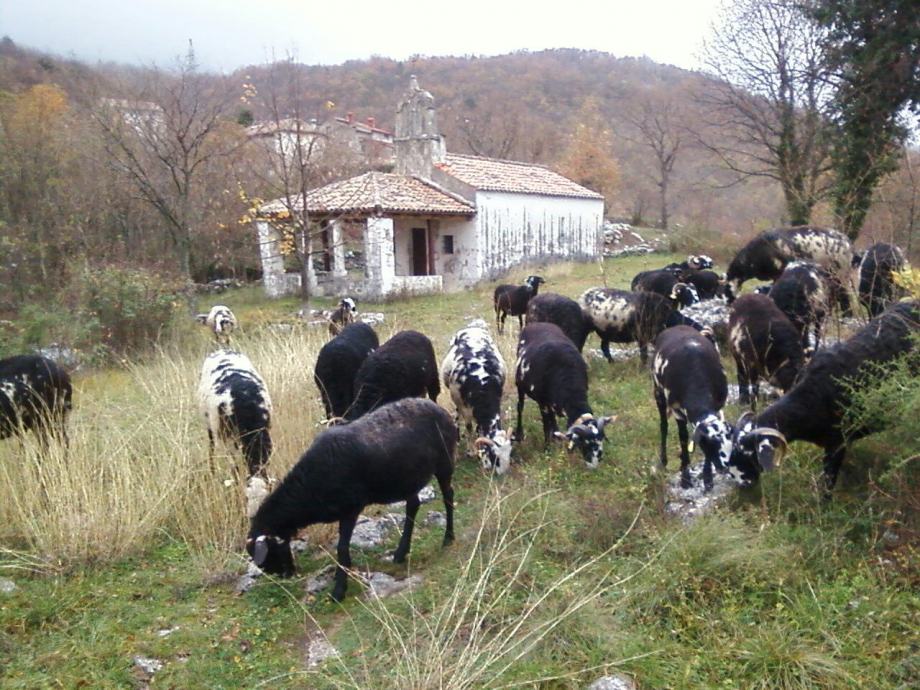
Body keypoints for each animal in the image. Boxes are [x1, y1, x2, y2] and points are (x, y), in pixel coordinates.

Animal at [246, 396, 458, 600]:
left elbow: (341, 548)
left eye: (270, 553)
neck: (308, 489)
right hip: (408, 476)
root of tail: (439, 408)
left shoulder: (351, 509)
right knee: (413, 505)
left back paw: (448, 537)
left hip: (444, 461)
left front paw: (339, 590)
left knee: (448, 496)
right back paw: (400, 552)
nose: (287, 575)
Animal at [436, 322, 510, 472]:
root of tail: (475, 325)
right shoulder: (464, 405)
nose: (502, 473)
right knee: (457, 414)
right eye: (494, 456)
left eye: (509, 453)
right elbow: (469, 426)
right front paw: (470, 451)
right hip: (455, 397)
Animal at [512, 322, 616, 468]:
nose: (593, 464)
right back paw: (520, 433)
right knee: (520, 407)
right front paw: (547, 450)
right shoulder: (542, 402)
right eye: (584, 443)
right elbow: (545, 426)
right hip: (520, 385)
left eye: (601, 440)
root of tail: (538, 324)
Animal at [656, 324, 732, 490]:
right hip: (658, 393)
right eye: (711, 446)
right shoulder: (677, 410)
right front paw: (685, 478)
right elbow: (683, 439)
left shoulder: (717, 407)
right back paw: (663, 461)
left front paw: (708, 477)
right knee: (663, 426)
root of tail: (678, 326)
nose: (724, 468)